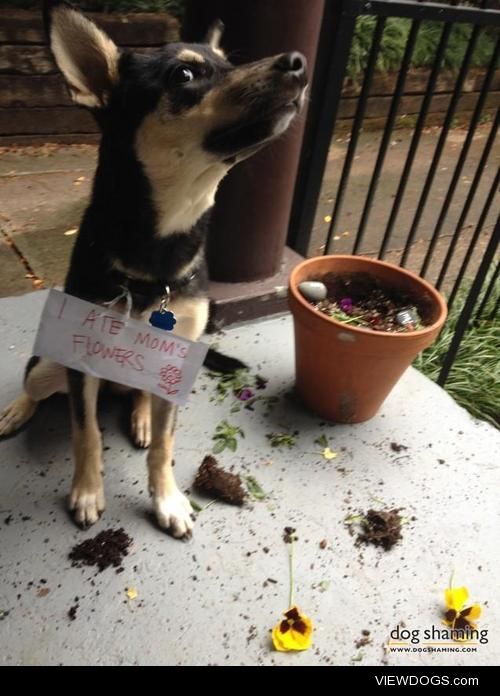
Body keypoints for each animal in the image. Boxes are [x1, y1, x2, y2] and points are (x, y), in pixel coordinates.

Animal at [0, 0, 308, 540]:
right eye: (185, 74)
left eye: (229, 62)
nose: (298, 62)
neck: (162, 246)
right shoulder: (81, 365)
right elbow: (85, 432)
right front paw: (87, 493)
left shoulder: (176, 353)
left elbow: (165, 445)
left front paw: (167, 500)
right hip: (49, 366)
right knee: (34, 382)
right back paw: (19, 409)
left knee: (143, 402)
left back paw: (141, 416)